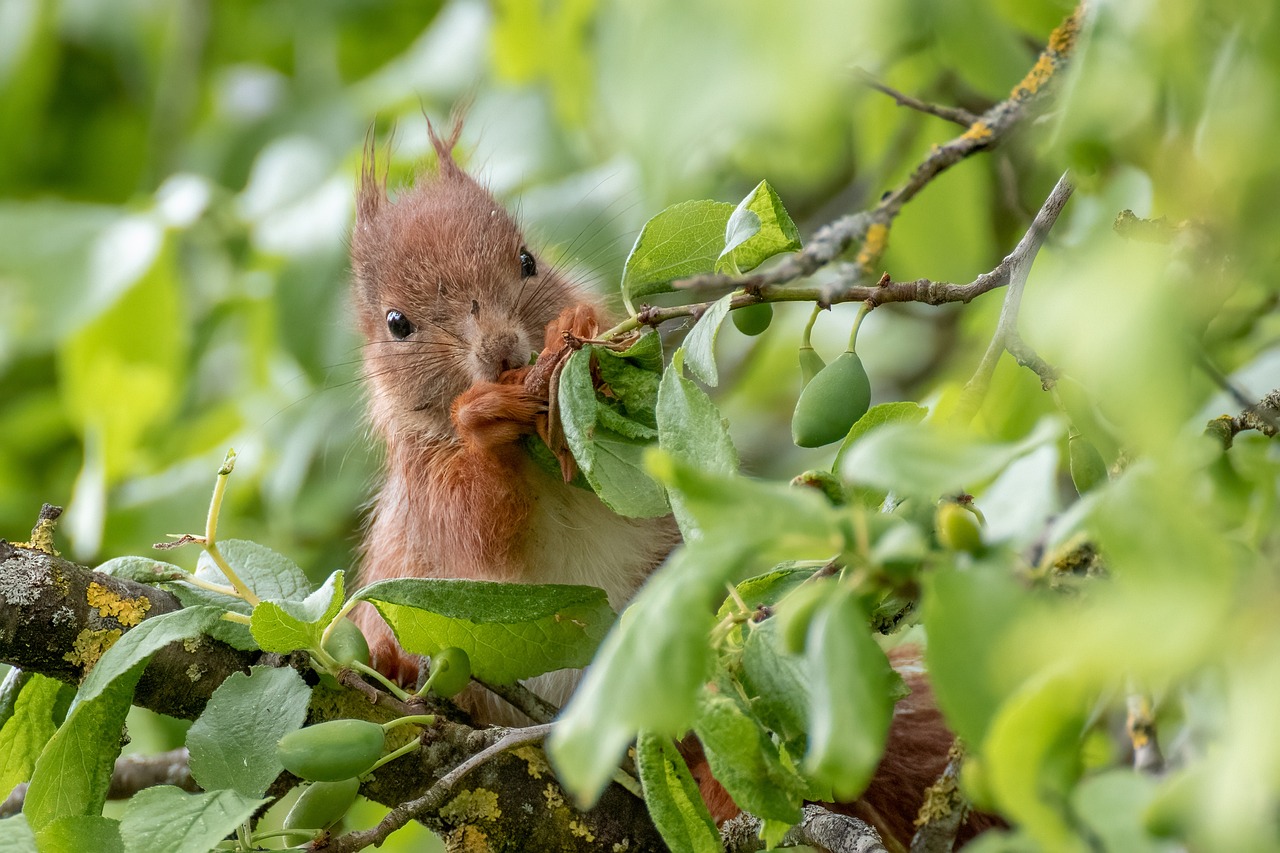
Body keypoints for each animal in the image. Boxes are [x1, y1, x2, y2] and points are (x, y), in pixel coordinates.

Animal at [350, 117, 998, 845]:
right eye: (397, 324)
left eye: (527, 261)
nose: (502, 351)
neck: (537, 457)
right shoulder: (423, 490)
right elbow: (473, 528)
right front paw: (482, 420)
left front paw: (582, 343)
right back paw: (393, 661)